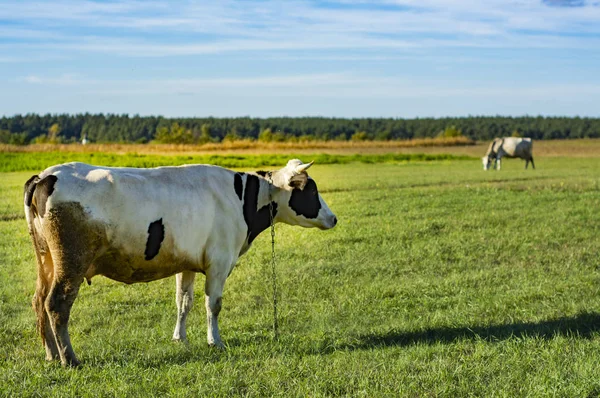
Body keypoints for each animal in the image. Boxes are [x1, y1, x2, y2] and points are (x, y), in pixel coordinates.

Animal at [23, 159, 338, 366]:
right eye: (311, 191)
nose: (334, 218)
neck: (240, 198)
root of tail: (45, 175)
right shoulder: (219, 262)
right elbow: (213, 305)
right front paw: (215, 341)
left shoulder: (187, 263)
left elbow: (183, 301)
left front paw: (180, 338)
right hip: (71, 262)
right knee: (57, 304)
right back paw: (69, 358)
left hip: (47, 260)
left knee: (39, 300)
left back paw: (51, 354)